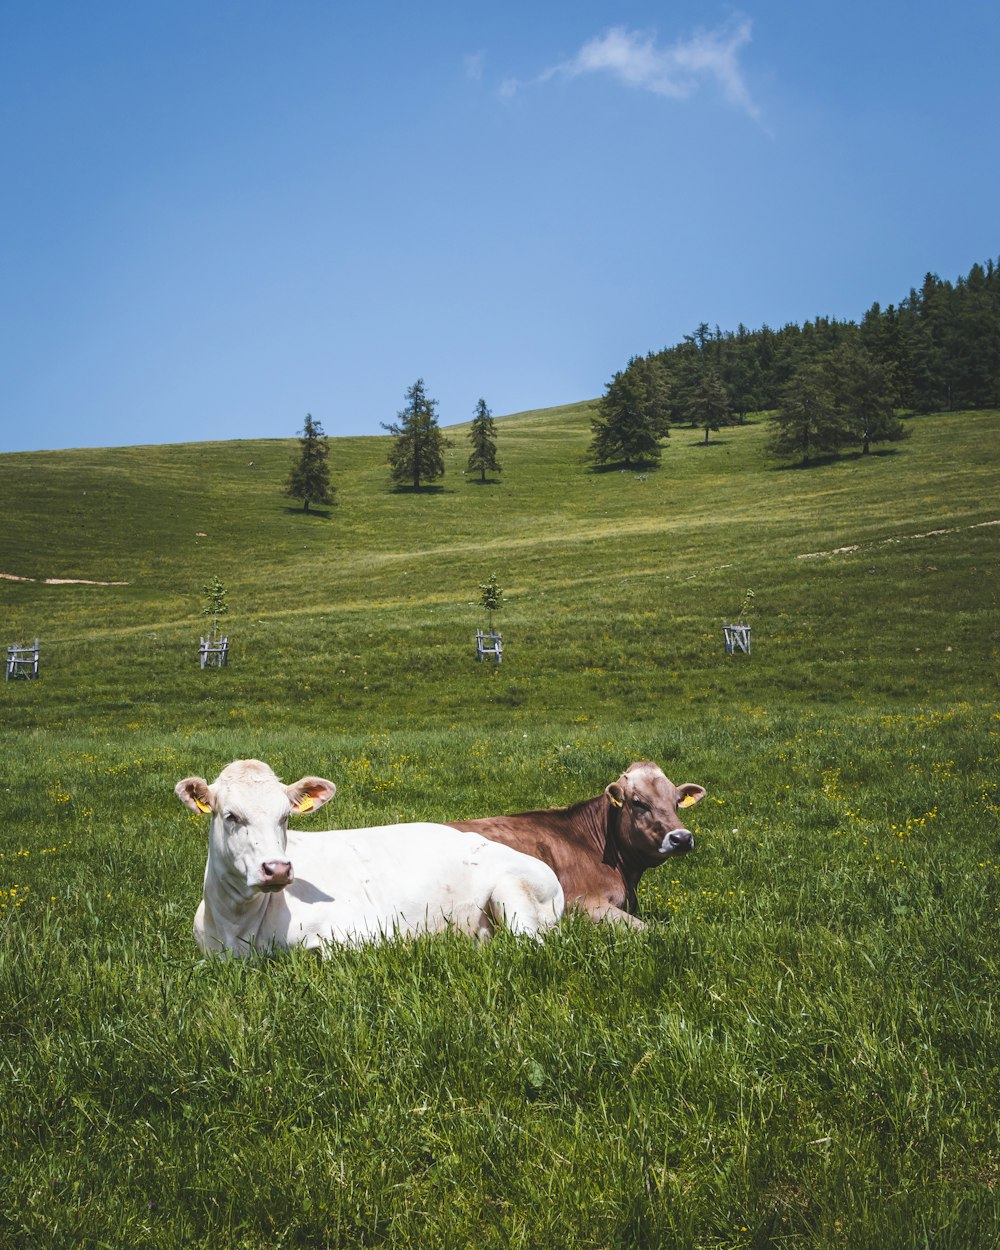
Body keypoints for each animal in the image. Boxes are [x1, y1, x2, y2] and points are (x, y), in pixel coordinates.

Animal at [176, 760, 567, 955]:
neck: (238, 927)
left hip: (515, 895)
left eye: (285, 816)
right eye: (231, 816)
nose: (277, 869)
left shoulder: (360, 934)